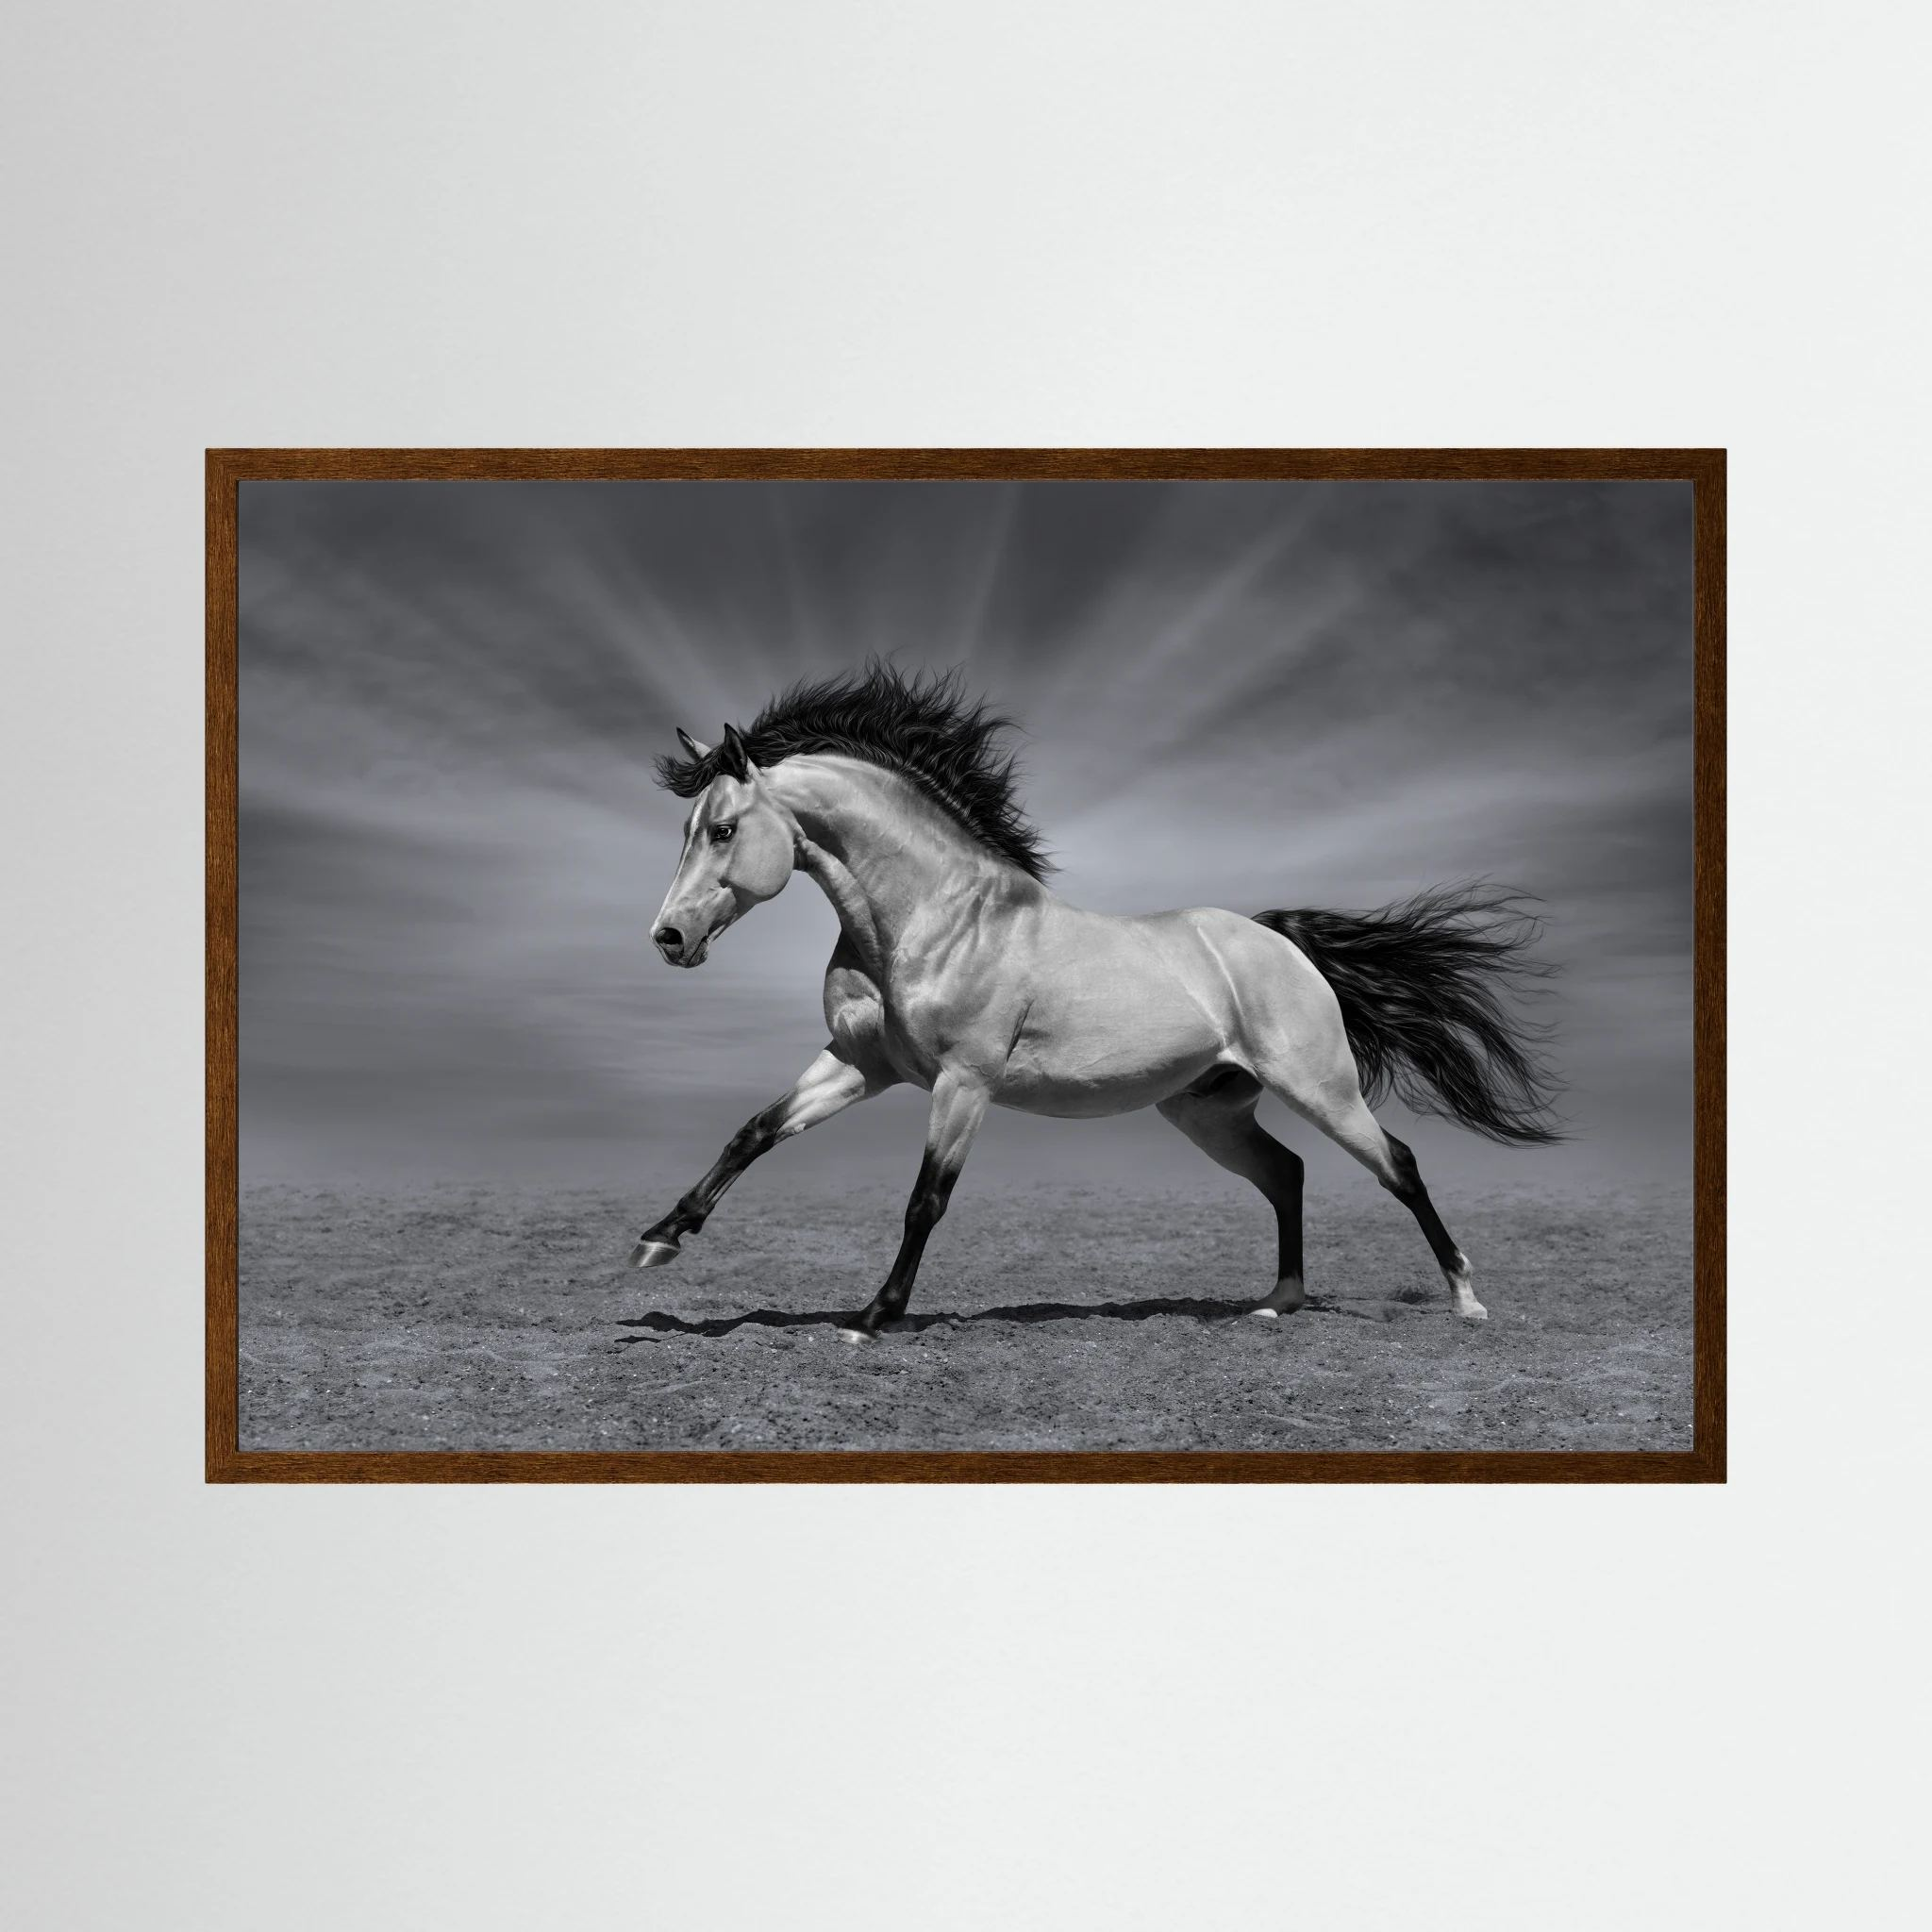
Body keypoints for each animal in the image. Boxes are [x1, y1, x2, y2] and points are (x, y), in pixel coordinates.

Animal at [633, 663, 1560, 1340]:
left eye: (722, 830)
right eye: (687, 830)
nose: (669, 938)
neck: (935, 918)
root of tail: (1280, 943)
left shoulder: (963, 1083)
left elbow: (926, 1199)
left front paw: (873, 1317)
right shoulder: (862, 1065)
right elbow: (754, 1132)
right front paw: (659, 1239)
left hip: (1319, 1088)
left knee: (1397, 1165)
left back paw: (1466, 1301)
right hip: (1207, 1110)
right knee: (1286, 1173)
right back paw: (1276, 1302)